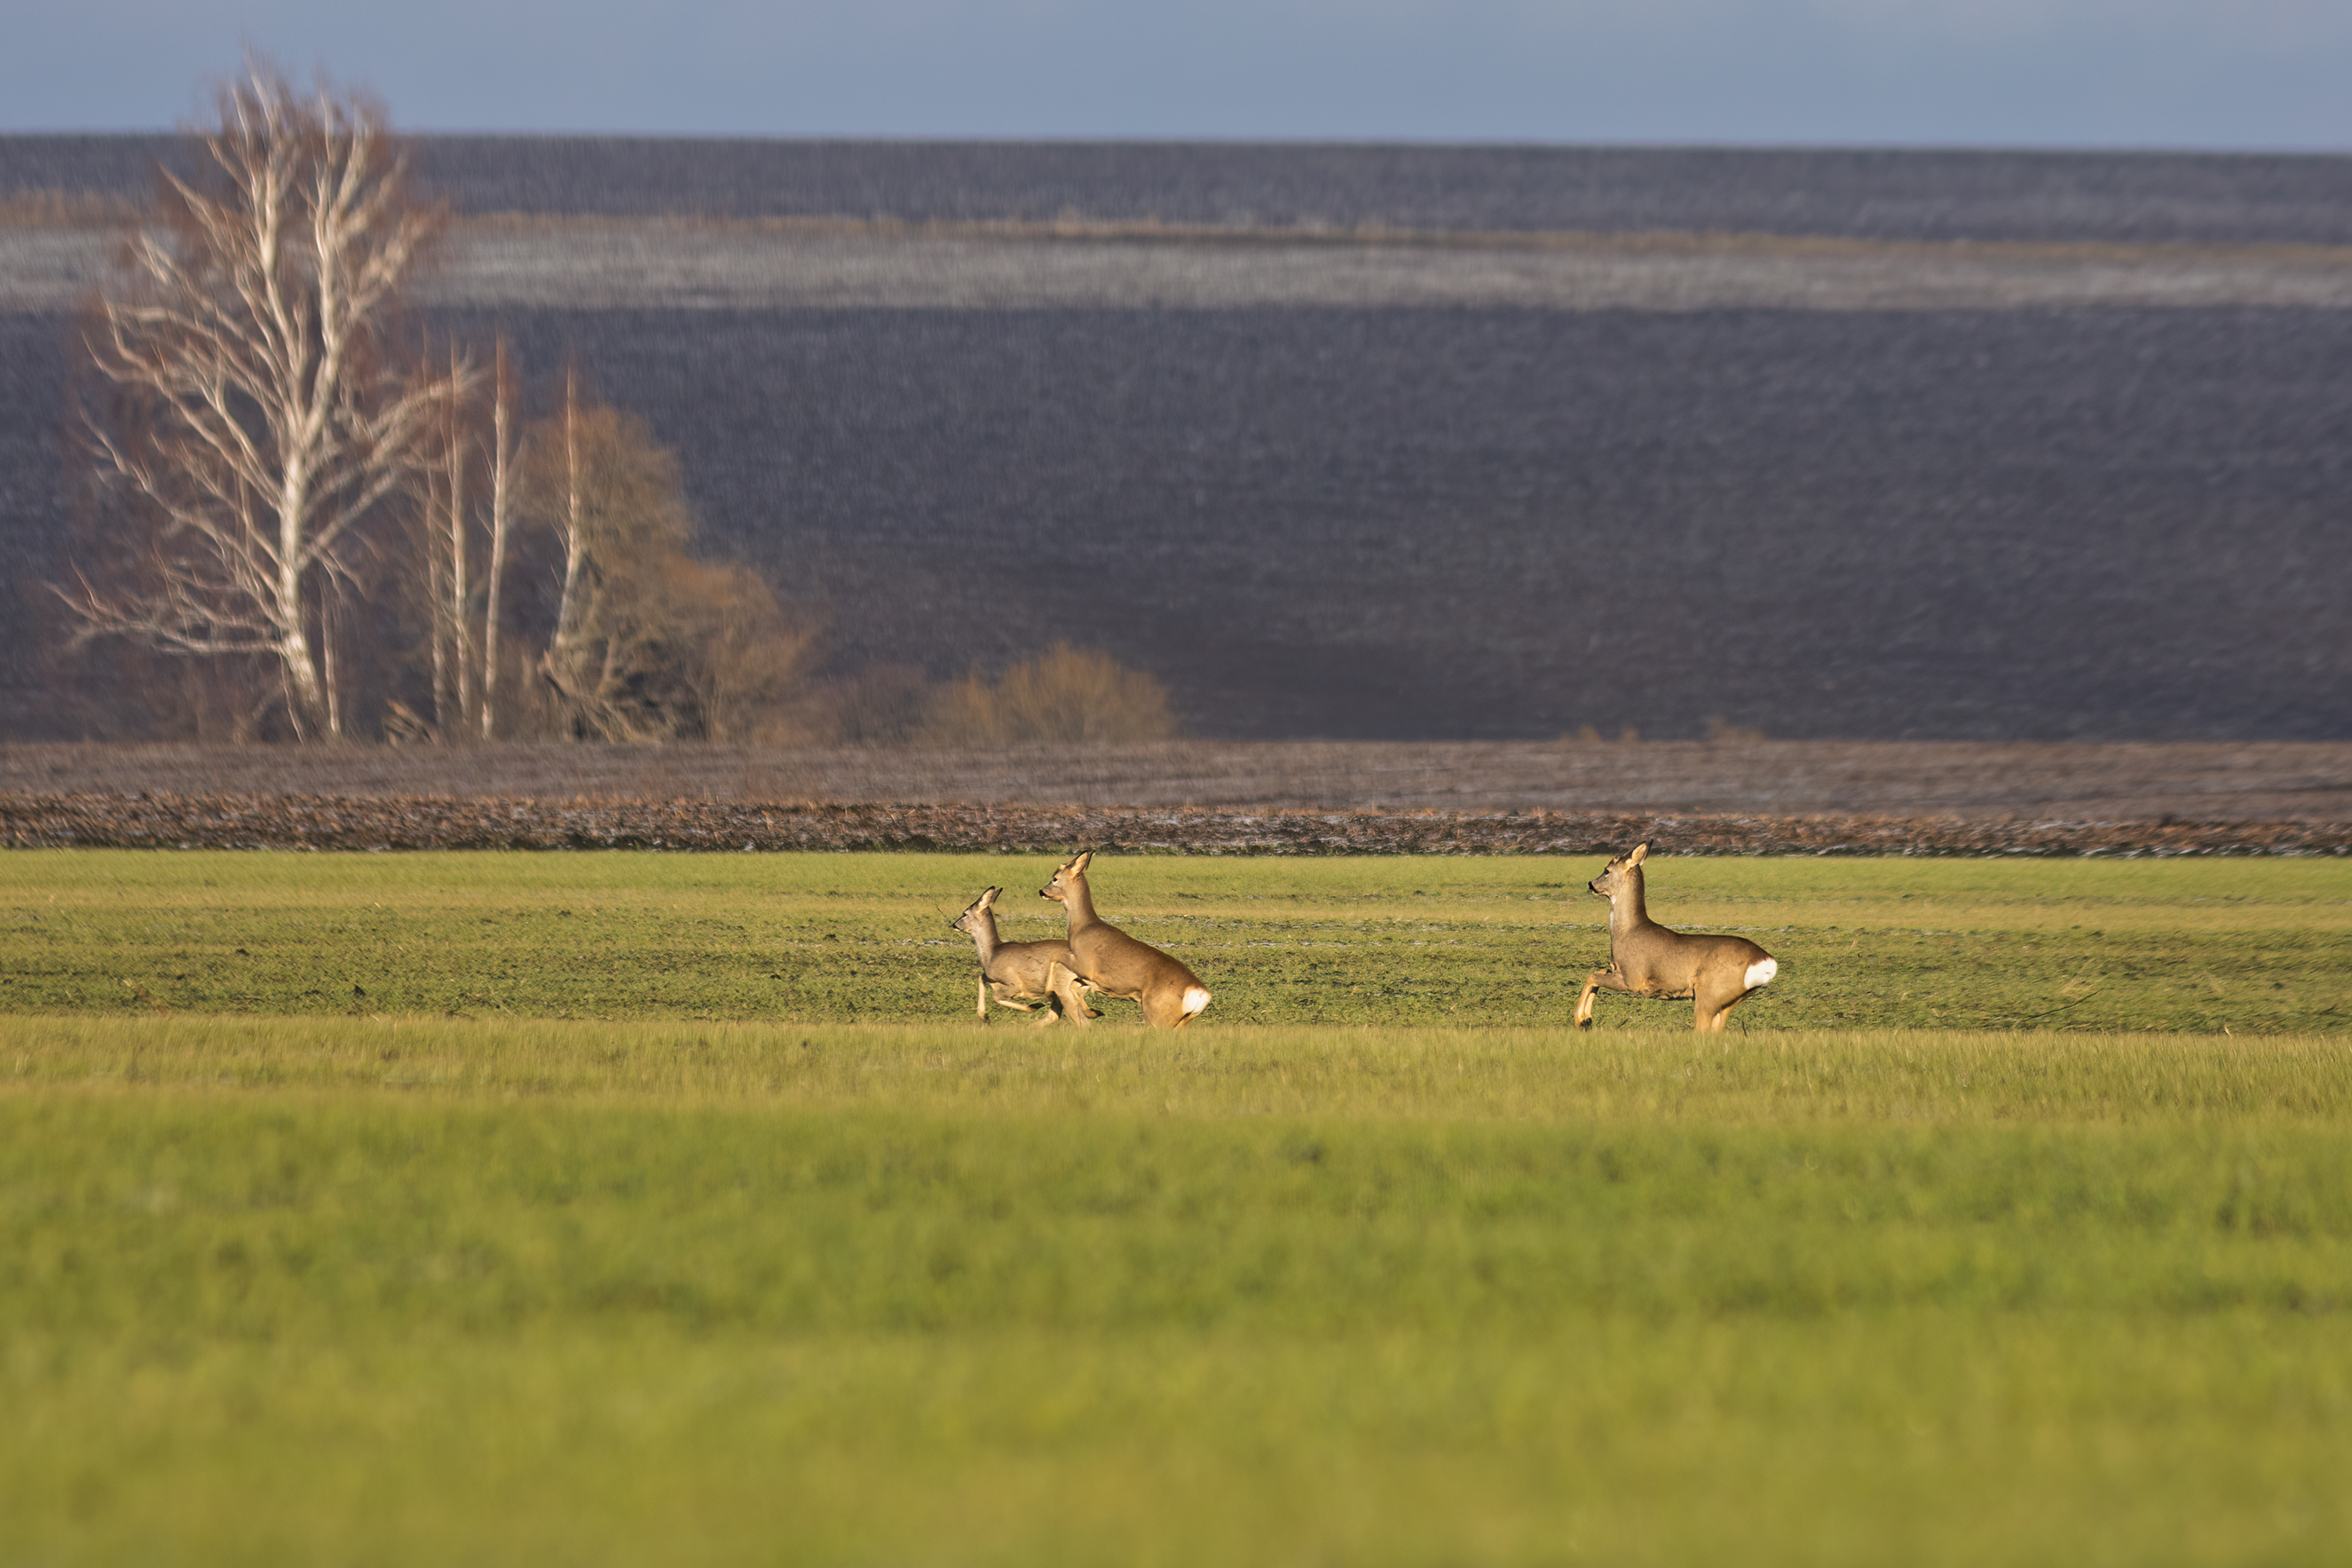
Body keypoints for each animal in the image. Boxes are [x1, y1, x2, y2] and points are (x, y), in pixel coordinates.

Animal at [950, 884, 1095, 1029]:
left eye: (965, 913)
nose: (954, 924)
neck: (992, 953)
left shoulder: (1014, 983)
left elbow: (997, 996)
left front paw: (1034, 1006)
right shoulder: (991, 978)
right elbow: (981, 978)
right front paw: (984, 1017)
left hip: (1062, 985)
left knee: (1080, 1021)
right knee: (1061, 1016)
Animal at [1044, 860, 1213, 1029]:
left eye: (1055, 878)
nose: (1042, 891)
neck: (1081, 927)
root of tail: (1200, 992)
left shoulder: (1085, 966)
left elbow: (1059, 963)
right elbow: (1075, 987)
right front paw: (1093, 1013)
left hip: (1157, 1015)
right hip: (1179, 1022)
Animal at [1571, 841, 1768, 1034]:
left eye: (1607, 870)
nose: (1591, 884)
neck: (1627, 931)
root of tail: (1765, 960)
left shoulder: (1632, 978)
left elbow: (1592, 976)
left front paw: (1582, 1020)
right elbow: (1598, 973)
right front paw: (1587, 1020)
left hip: (1710, 993)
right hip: (1728, 1001)